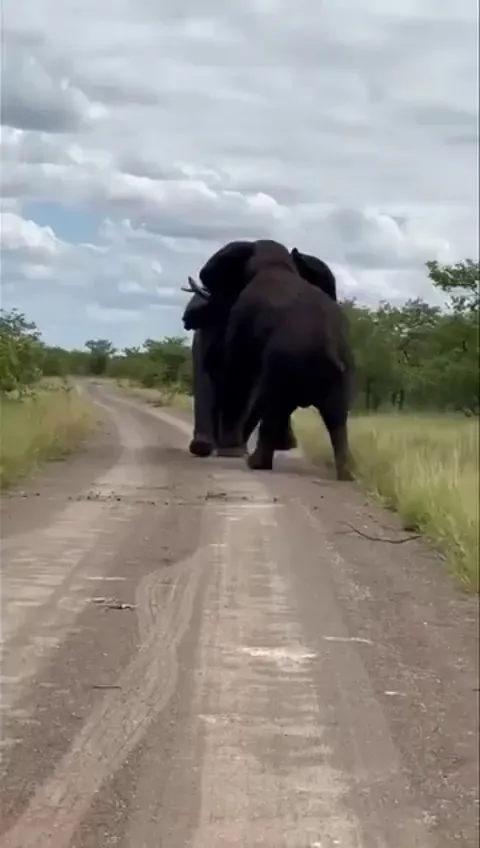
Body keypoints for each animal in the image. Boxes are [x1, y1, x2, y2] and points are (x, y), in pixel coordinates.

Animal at [193, 238, 354, 480]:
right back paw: (347, 474)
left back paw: (255, 463)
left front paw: (229, 451)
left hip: (285, 367)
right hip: (338, 376)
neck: (276, 263)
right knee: (337, 418)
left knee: (273, 405)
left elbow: (237, 369)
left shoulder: (242, 314)